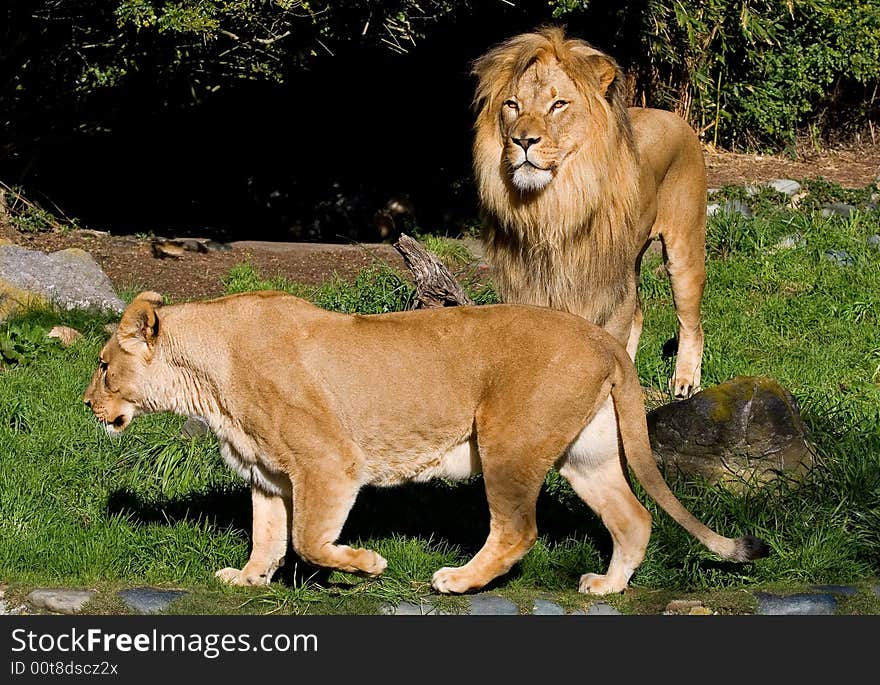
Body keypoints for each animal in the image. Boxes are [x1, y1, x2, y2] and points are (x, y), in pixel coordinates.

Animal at [86, 288, 768, 592]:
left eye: (101, 364)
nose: (88, 405)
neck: (206, 377)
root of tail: (601, 335)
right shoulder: (269, 473)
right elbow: (268, 535)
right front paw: (249, 578)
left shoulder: (329, 462)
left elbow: (308, 540)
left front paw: (366, 565)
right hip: (587, 454)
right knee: (633, 518)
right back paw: (606, 587)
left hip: (507, 442)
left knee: (518, 530)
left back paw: (460, 580)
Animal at [474, 28, 708, 396]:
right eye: (512, 104)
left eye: (558, 104)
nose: (523, 140)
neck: (552, 206)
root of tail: (671, 114)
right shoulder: (529, 289)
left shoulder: (604, 289)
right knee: (639, 316)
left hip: (683, 251)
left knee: (691, 324)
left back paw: (685, 380)